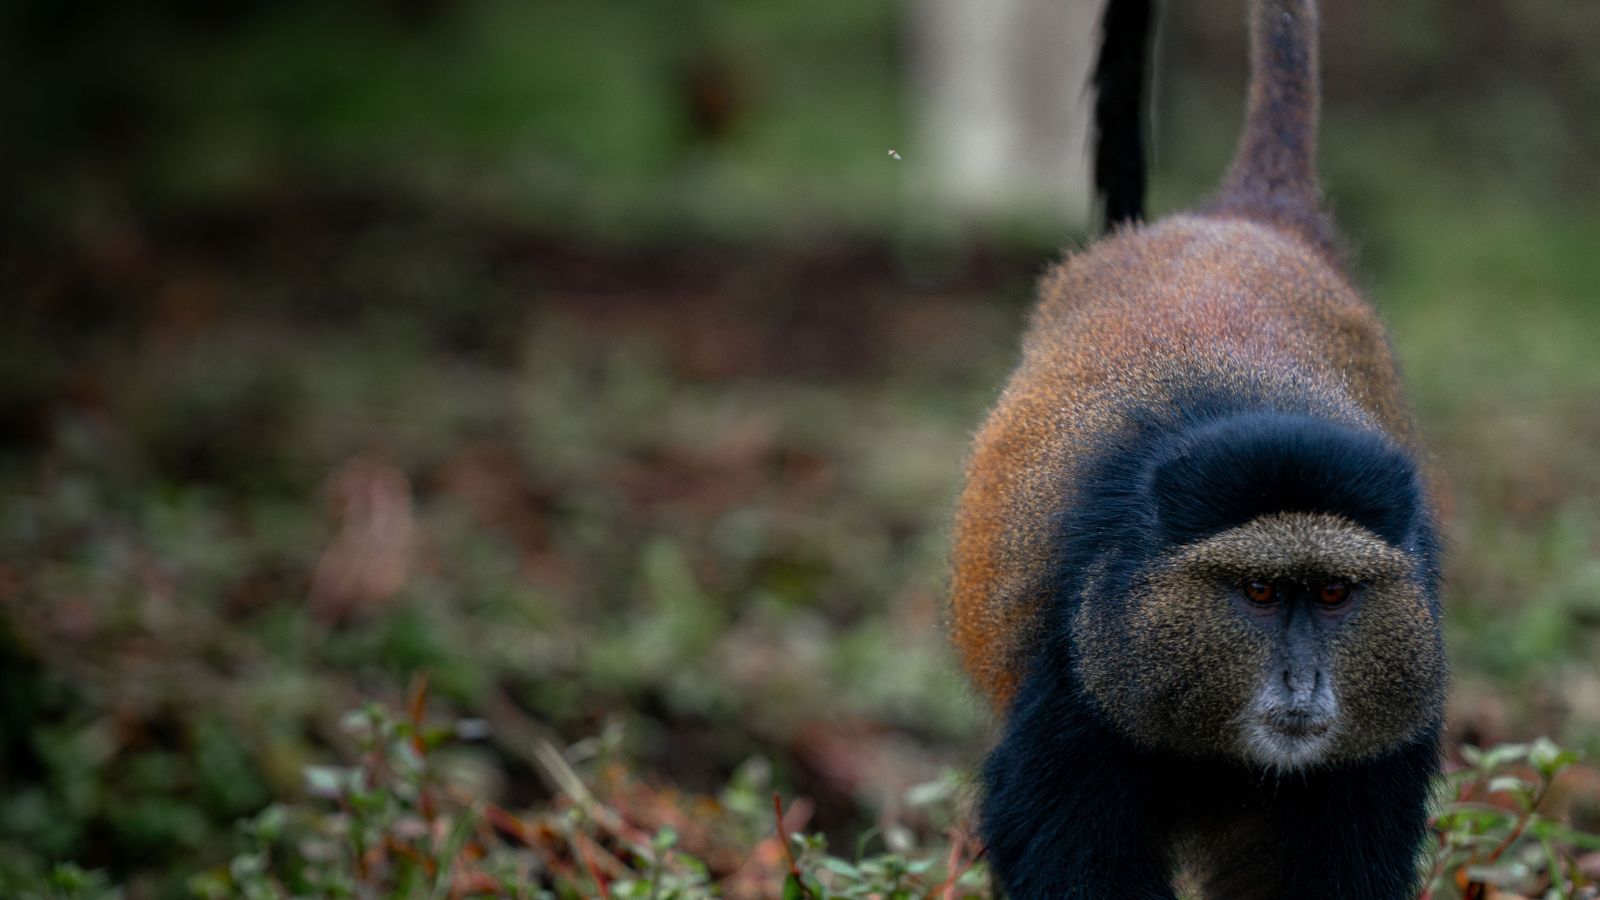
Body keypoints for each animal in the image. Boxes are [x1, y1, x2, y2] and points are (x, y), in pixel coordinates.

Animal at [947, 1, 1447, 897]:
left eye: (1332, 595)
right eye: (1258, 592)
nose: (1302, 683)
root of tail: (1248, 216)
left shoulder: (1386, 729)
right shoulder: (1081, 672)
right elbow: (1072, 854)